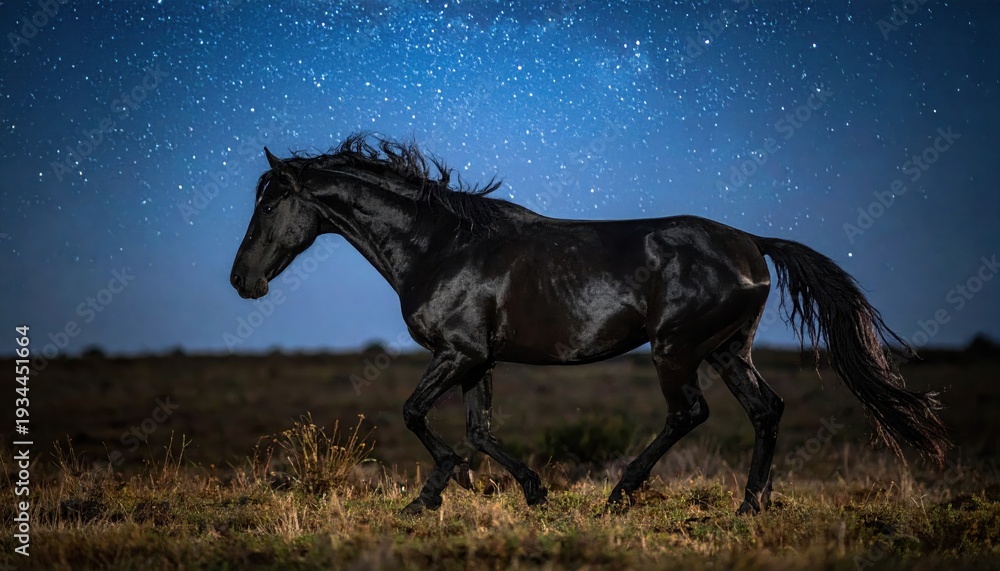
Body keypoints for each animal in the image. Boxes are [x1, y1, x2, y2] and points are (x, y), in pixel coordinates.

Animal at [230, 134, 948, 515]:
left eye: (270, 203)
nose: (243, 281)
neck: (440, 244)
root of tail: (753, 245)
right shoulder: (478, 359)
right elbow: (479, 431)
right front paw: (530, 491)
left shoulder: (456, 354)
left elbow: (416, 415)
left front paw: (429, 495)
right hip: (727, 350)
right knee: (766, 410)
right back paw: (750, 505)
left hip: (676, 349)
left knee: (689, 413)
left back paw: (621, 494)